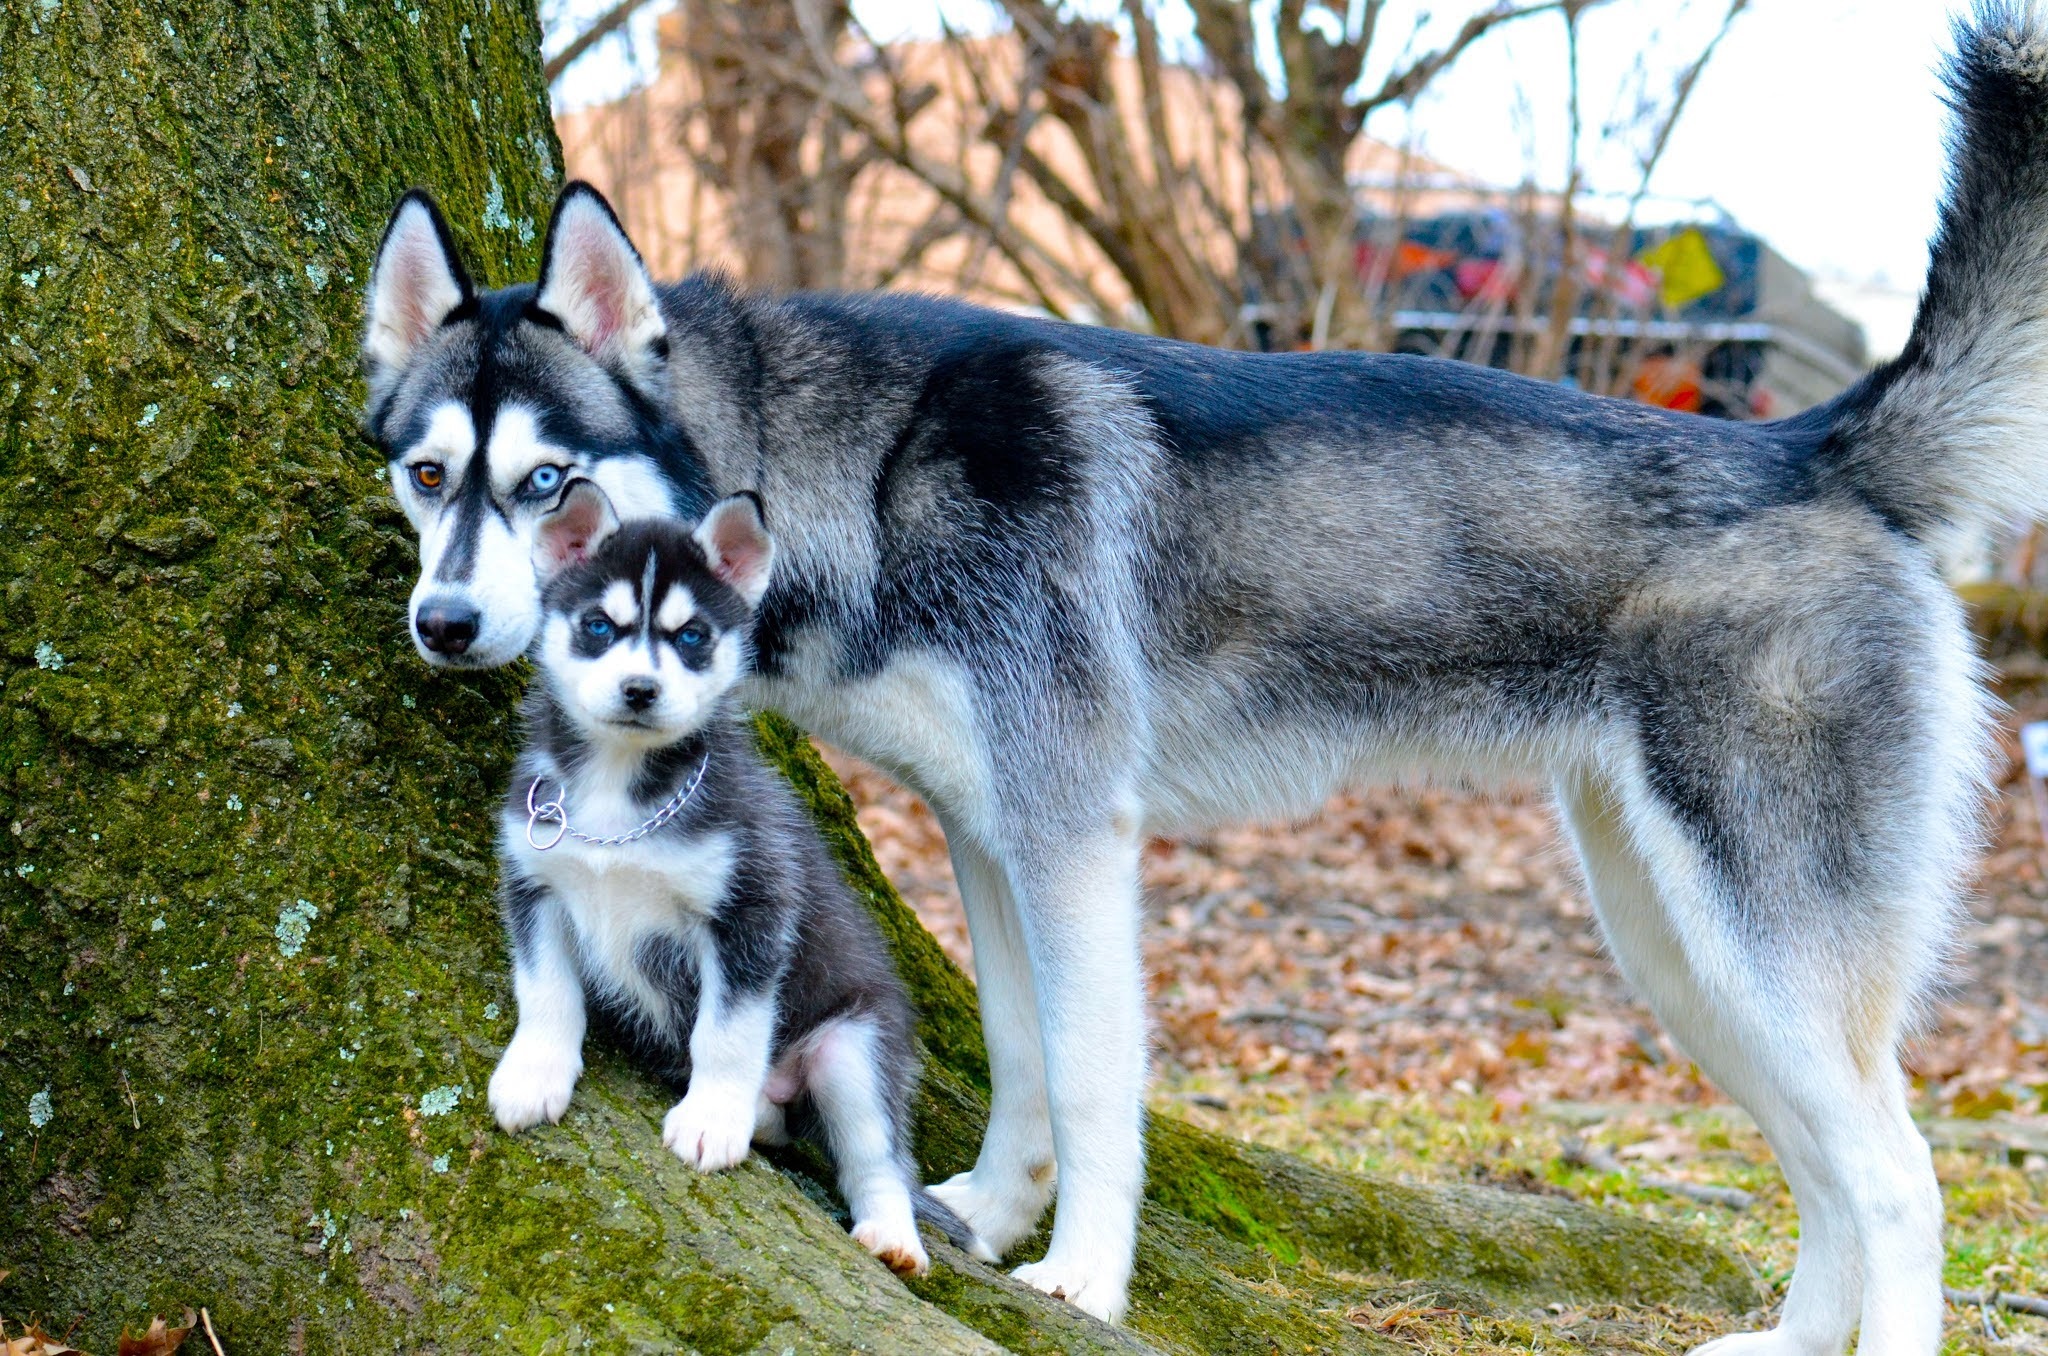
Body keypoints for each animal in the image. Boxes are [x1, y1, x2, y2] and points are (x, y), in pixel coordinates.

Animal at [485, 483, 966, 1278]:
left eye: (692, 637)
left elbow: (728, 1033)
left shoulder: (752, 913)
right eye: (597, 626)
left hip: (854, 1045)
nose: (640, 689)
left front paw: (711, 1118)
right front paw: (535, 1072)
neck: (619, 791)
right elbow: (547, 992)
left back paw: (892, 1233)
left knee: (878, 1157)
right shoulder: (535, 887)